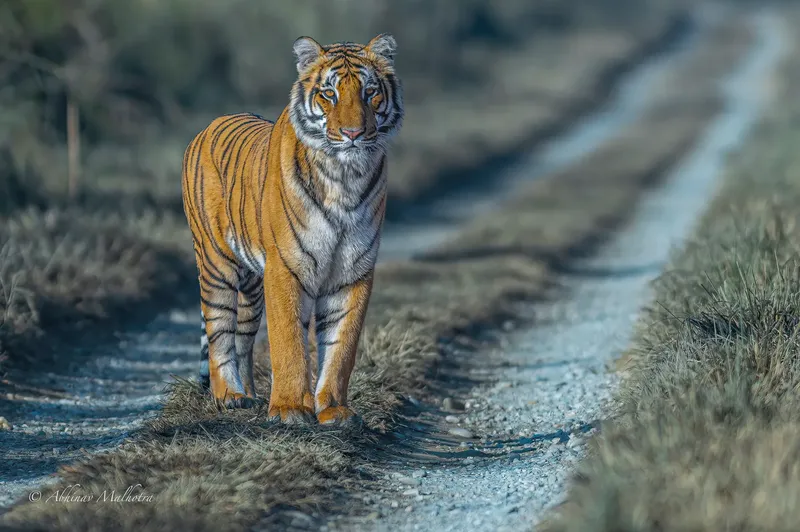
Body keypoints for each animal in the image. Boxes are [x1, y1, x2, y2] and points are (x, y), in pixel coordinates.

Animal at [181, 33, 403, 425]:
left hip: (252, 285)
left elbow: (341, 346)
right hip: (216, 264)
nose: (353, 133)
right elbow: (288, 341)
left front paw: (334, 409)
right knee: (219, 329)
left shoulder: (353, 273)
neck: (344, 177)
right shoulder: (286, 267)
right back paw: (229, 396)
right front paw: (288, 409)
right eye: (329, 94)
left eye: (369, 92)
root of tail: (208, 127)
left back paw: (250, 395)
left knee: (243, 336)